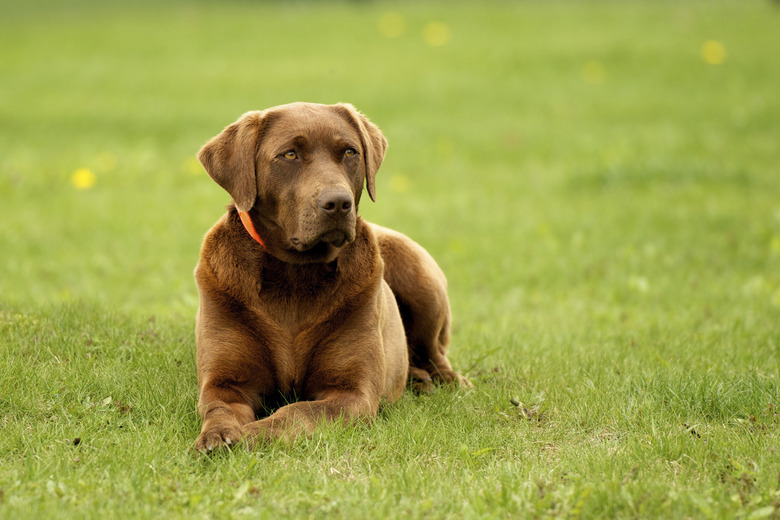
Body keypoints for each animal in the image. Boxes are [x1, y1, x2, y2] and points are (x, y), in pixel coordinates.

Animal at [193, 101, 466, 450]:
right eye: (290, 154)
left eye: (350, 152)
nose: (338, 202)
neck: (294, 275)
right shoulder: (226, 382)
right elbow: (219, 409)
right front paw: (217, 435)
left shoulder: (351, 392)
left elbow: (294, 412)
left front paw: (249, 434)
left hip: (419, 274)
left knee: (436, 353)